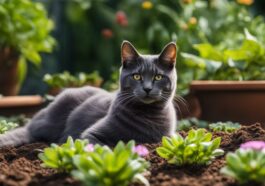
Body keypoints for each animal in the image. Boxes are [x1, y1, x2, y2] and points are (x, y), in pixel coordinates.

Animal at [0, 41, 177, 147]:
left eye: (158, 77)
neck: (148, 116)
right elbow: (106, 147)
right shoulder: (89, 135)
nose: (147, 88)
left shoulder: (169, 135)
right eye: (137, 76)